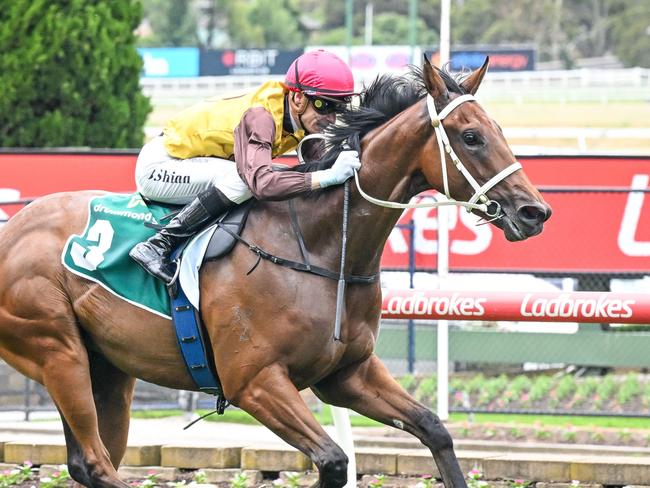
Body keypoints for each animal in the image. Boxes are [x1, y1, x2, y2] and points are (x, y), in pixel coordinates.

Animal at [0, 58, 548, 488]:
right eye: (471, 137)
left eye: (500, 132)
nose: (534, 212)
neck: (321, 248)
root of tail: (13, 228)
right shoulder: (256, 382)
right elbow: (333, 460)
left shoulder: (347, 374)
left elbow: (435, 428)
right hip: (58, 350)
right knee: (96, 462)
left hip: (109, 369)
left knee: (88, 464)